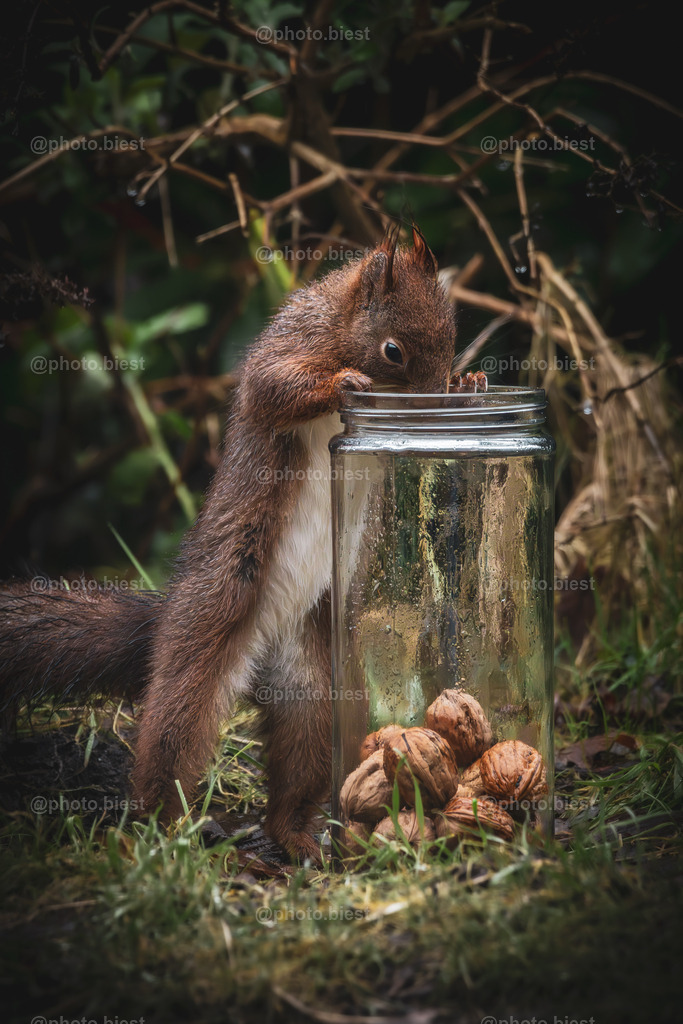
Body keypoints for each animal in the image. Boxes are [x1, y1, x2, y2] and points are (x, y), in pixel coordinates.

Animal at [0, 227, 483, 861]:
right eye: (393, 351)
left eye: (453, 338)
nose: (435, 406)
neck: (337, 326)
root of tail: (260, 656)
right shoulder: (285, 346)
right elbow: (273, 387)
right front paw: (344, 383)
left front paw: (471, 384)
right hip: (211, 621)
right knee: (172, 735)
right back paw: (156, 834)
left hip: (312, 684)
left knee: (298, 760)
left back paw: (296, 839)